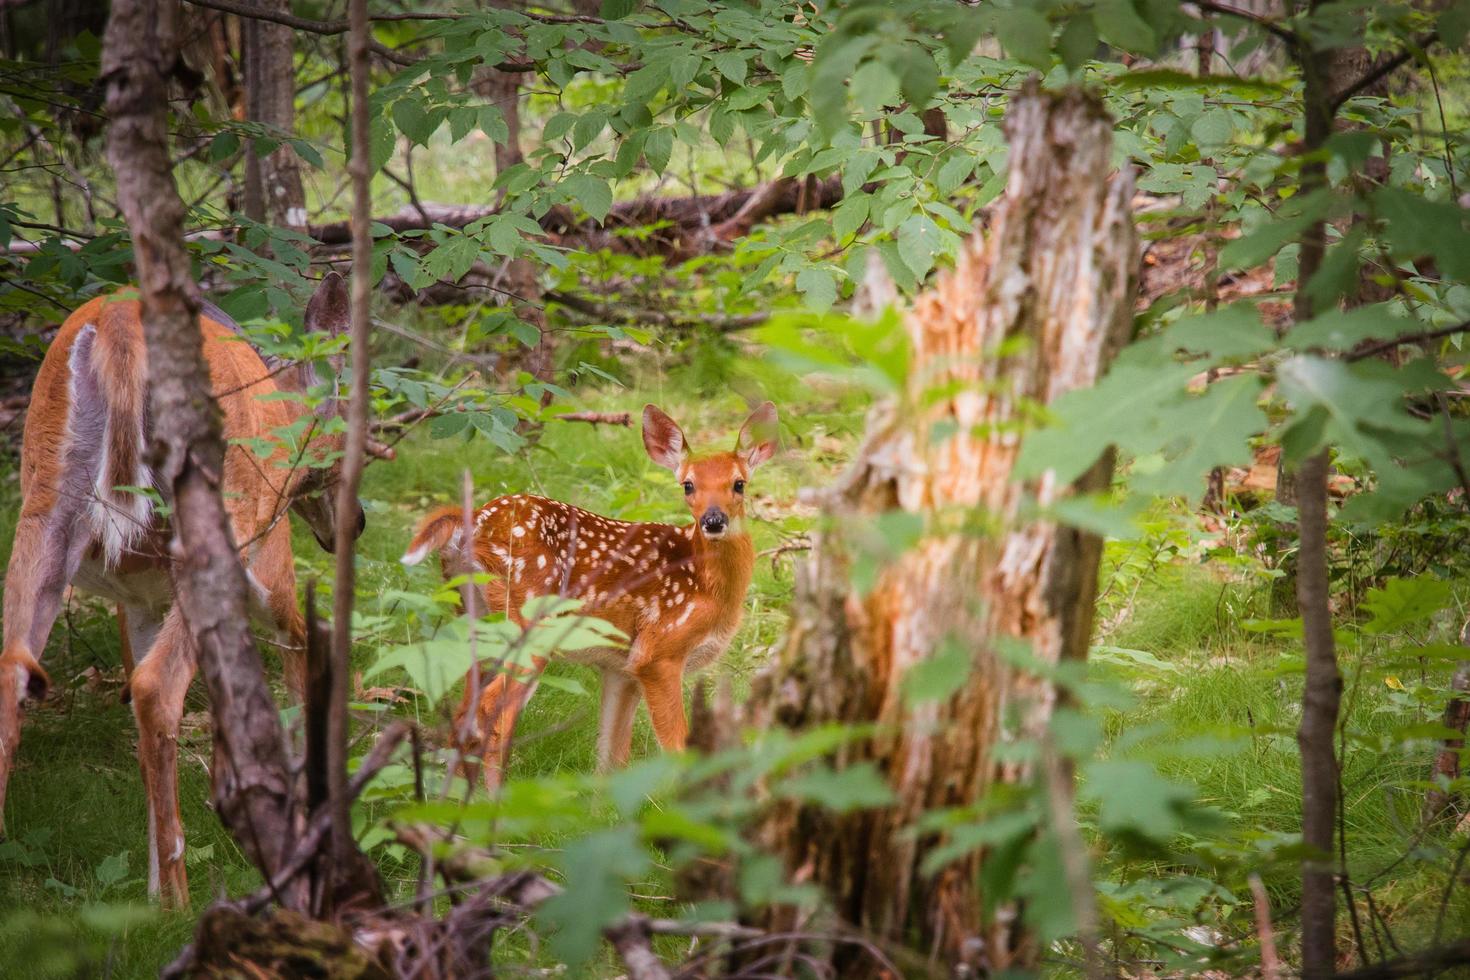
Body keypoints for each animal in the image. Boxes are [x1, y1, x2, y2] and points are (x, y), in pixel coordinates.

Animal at [1, 271, 379, 910]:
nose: (355, 523)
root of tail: (119, 319)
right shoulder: (270, 565)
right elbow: (303, 659)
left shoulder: (139, 596)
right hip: (222, 516)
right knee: (158, 687)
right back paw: (179, 902)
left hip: (44, 502)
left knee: (15, 674)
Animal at [396, 402, 776, 793]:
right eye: (688, 484)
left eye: (739, 484)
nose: (713, 520)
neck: (706, 586)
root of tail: (469, 524)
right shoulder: (659, 652)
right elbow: (679, 749)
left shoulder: (621, 668)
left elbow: (611, 760)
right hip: (528, 623)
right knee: (492, 715)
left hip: (473, 617)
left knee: (463, 711)